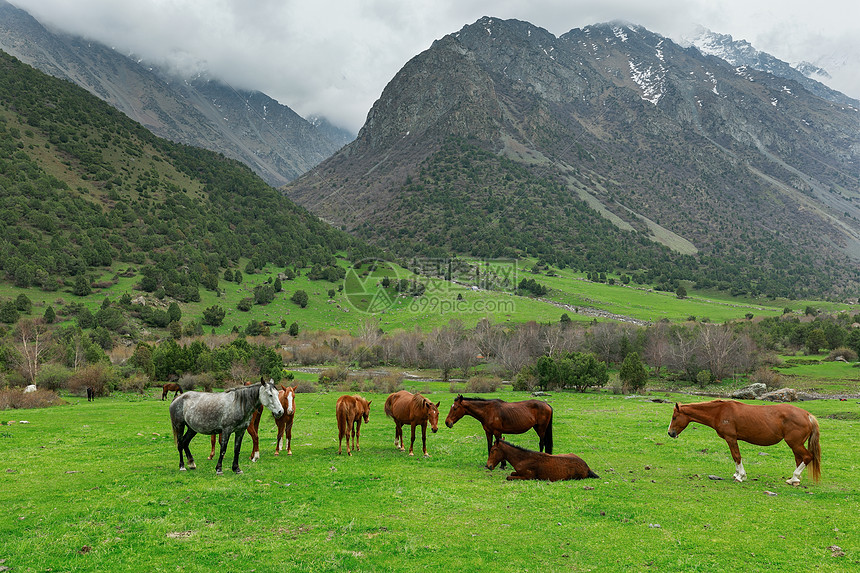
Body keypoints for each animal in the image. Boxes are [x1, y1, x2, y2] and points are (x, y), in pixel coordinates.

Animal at [664, 400, 820, 484]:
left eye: (674, 417)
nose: (670, 433)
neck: (720, 412)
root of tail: (807, 415)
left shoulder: (731, 438)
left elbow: (736, 456)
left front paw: (740, 476)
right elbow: (735, 457)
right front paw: (737, 474)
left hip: (795, 444)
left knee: (808, 457)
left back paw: (794, 478)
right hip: (795, 445)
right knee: (800, 459)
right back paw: (795, 480)